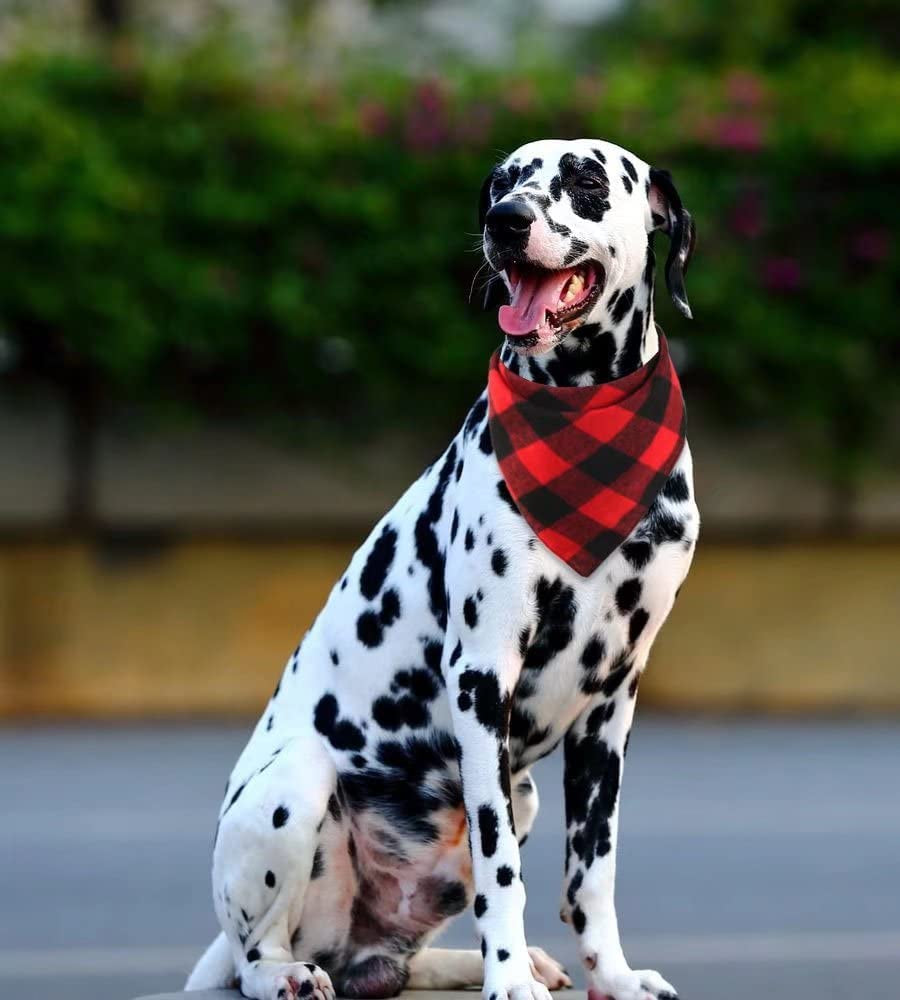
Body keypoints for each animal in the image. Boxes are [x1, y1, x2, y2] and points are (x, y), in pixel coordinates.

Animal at [186, 139, 700, 1000]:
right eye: (502, 182)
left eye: (586, 179)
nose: (506, 222)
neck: (585, 421)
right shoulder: (482, 679)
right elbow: (503, 871)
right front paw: (509, 982)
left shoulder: (612, 702)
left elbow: (590, 869)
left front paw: (614, 975)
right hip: (298, 787)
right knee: (259, 955)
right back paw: (291, 973)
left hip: (520, 797)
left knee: (399, 961)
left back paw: (498, 961)